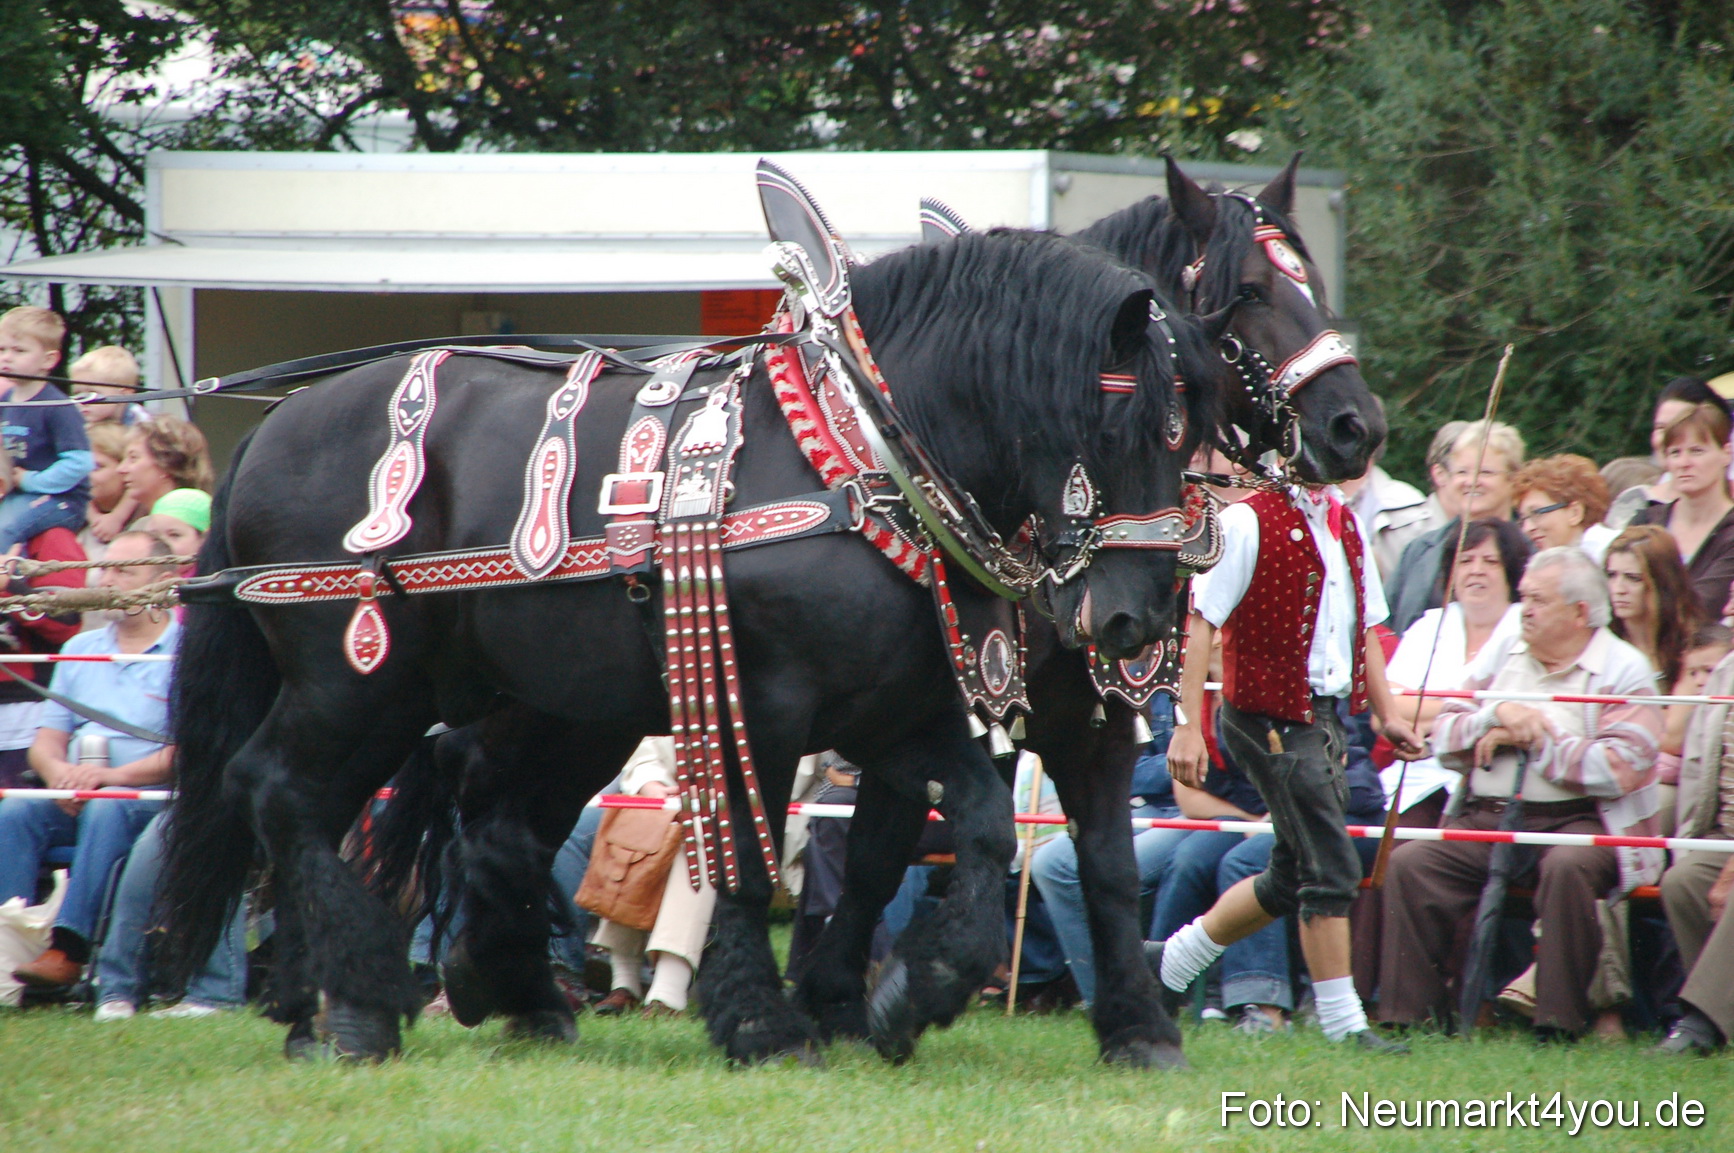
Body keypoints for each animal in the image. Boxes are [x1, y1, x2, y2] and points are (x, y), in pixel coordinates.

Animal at [158, 168, 1224, 1065]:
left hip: (499, 697)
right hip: (357, 674)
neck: (857, 449)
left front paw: (909, 994)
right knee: (280, 790)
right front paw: (765, 1020)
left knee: (433, 809)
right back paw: (361, 1003)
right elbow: (750, 858)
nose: (1136, 617)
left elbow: (989, 831)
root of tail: (274, 425)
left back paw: (394, 999)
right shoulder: (768, 705)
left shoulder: (895, 713)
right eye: (1122, 426)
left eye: (1190, 435)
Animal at [790, 156, 1387, 1069]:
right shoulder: (947, 712)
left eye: (1315, 285)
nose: (1357, 426)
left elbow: (1107, 862)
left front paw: (1138, 1021)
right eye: (1250, 290)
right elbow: (884, 849)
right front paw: (862, 996)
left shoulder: (1092, 717)